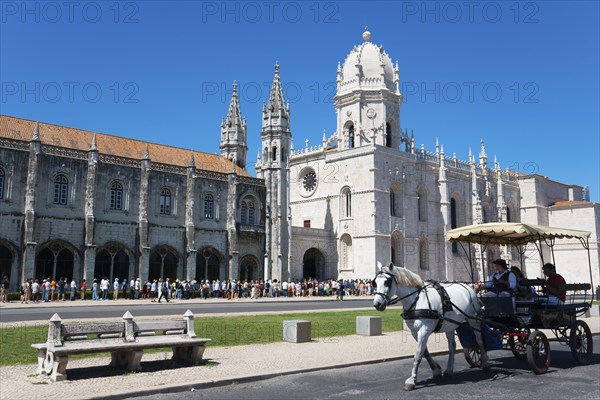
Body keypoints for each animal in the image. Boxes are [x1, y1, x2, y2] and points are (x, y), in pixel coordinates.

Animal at [372, 262, 490, 390]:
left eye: (387, 282)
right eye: (375, 282)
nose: (377, 304)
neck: (417, 299)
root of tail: (469, 287)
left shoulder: (424, 330)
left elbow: (418, 355)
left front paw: (412, 380)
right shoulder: (415, 331)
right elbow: (425, 352)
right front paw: (436, 370)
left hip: (473, 320)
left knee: (479, 341)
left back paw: (485, 364)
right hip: (450, 324)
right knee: (452, 346)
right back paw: (449, 371)